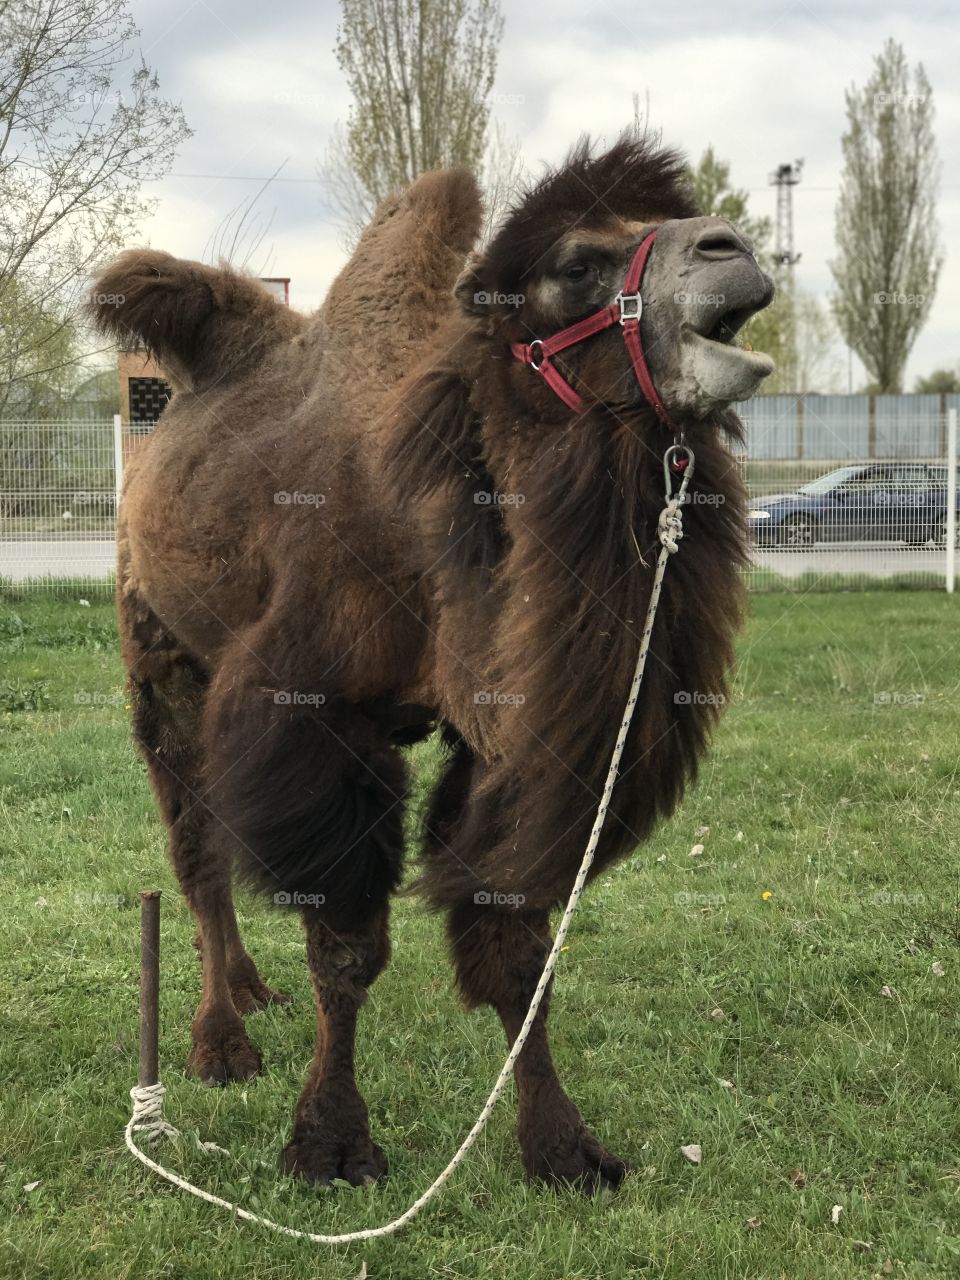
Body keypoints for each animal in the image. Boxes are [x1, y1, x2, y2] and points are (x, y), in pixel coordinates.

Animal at [90, 134, 774, 1193]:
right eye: (576, 265)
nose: (733, 249)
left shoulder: (497, 743)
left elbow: (517, 947)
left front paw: (564, 1148)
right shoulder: (314, 717)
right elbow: (346, 951)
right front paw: (331, 1144)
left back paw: (250, 991)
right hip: (159, 655)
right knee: (195, 853)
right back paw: (219, 1041)